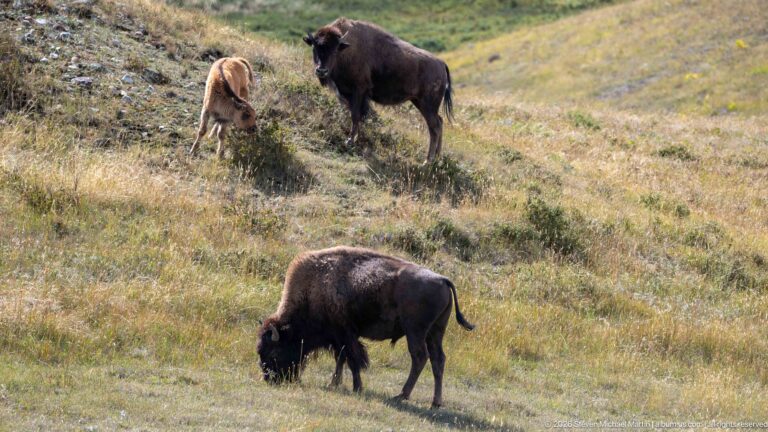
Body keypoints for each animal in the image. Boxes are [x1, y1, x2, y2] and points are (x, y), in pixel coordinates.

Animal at [257, 246, 474, 409]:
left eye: (274, 352)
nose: (270, 378)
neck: (313, 288)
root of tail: (442, 279)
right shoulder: (339, 338)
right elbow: (342, 359)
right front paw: (334, 383)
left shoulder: (345, 334)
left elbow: (353, 360)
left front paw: (356, 387)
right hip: (435, 332)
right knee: (438, 360)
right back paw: (435, 403)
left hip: (416, 332)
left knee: (420, 358)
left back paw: (401, 395)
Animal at [303, 18, 454, 163]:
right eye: (315, 48)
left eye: (335, 50)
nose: (321, 70)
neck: (346, 48)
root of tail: (441, 64)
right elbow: (357, 116)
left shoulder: (359, 90)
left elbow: (355, 115)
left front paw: (350, 141)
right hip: (419, 102)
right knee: (439, 122)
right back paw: (437, 159)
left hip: (427, 105)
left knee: (434, 127)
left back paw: (427, 161)